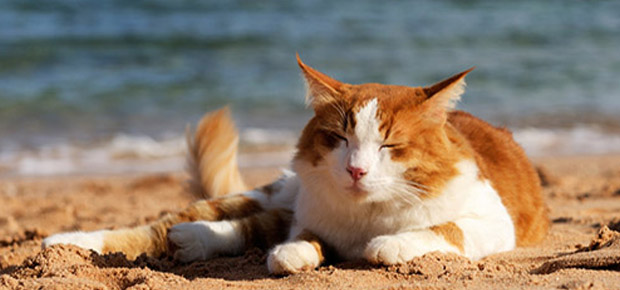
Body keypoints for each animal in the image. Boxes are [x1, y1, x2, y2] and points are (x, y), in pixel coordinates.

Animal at [42, 55, 548, 276]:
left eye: (389, 146)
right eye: (340, 139)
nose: (356, 171)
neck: (366, 215)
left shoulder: (493, 220)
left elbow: (440, 230)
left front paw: (389, 244)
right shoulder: (309, 216)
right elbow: (299, 239)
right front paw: (297, 253)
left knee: (247, 228)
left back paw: (196, 242)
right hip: (272, 192)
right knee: (178, 224)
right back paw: (67, 244)